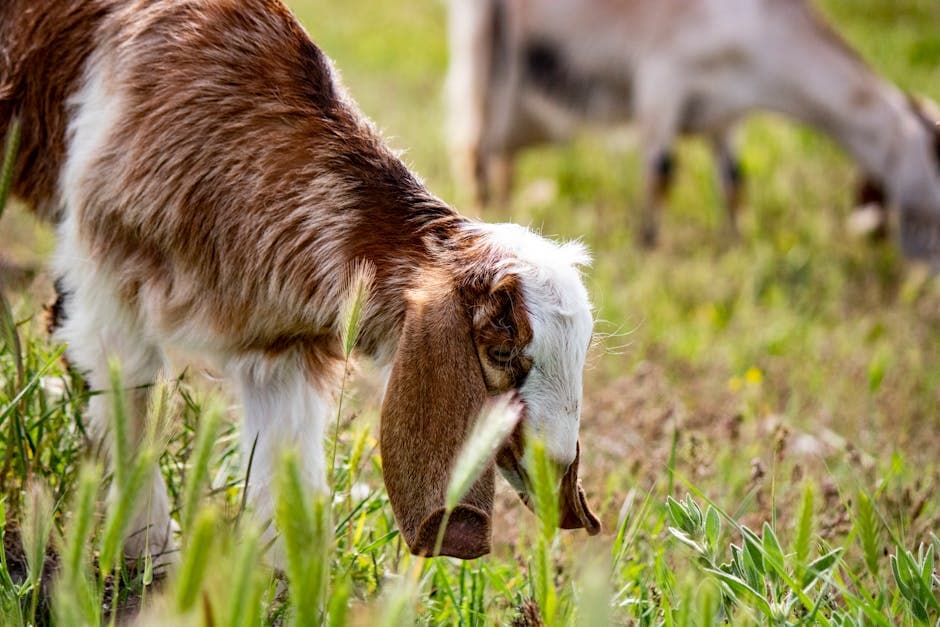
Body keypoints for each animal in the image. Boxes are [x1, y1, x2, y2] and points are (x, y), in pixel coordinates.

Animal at [0, 0, 600, 563]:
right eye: (501, 352)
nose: (556, 478)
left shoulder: (280, 347)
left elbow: (284, 473)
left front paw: (283, 578)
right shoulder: (109, 284)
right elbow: (136, 413)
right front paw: (150, 553)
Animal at [448, 0, 940, 262]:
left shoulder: (725, 116)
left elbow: (734, 185)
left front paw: (738, 248)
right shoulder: (662, 80)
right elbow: (660, 173)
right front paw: (649, 251)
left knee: (501, 156)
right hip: (489, 48)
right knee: (475, 149)